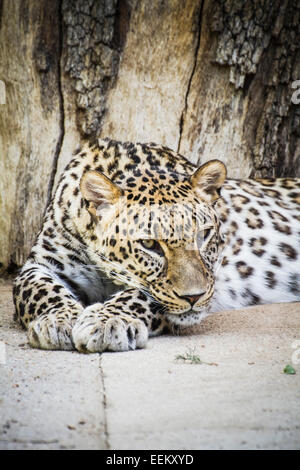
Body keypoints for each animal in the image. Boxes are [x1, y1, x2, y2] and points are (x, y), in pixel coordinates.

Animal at [12, 138, 300, 350]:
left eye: (203, 235)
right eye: (150, 244)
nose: (194, 297)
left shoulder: (212, 277)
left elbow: (142, 294)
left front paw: (108, 322)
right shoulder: (41, 264)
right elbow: (38, 289)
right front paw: (57, 320)